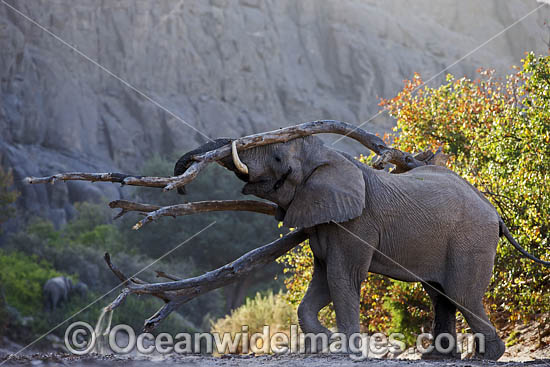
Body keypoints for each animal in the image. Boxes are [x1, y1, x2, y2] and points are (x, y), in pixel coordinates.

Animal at [176, 134, 548, 360]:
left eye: (280, 158)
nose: (181, 188)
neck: (330, 156)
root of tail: (495, 213)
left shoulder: (356, 223)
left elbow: (343, 276)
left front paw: (344, 349)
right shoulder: (325, 220)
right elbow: (323, 278)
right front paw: (322, 343)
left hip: (470, 239)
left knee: (461, 294)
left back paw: (486, 356)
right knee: (440, 294)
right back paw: (436, 357)